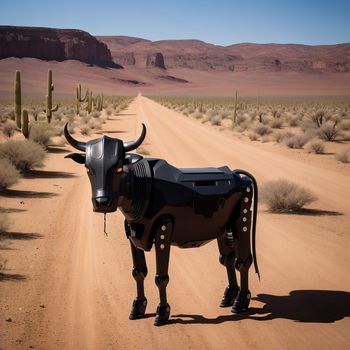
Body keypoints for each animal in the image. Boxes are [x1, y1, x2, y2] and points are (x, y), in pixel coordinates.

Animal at [64, 123, 258, 326]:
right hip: (223, 229)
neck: (143, 186)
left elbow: (161, 277)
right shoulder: (132, 233)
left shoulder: (163, 229)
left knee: (243, 260)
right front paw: (138, 307)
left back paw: (240, 301)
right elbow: (138, 272)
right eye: (88, 169)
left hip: (242, 221)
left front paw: (162, 312)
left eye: (118, 168)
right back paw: (229, 296)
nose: (102, 202)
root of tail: (239, 175)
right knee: (227, 259)